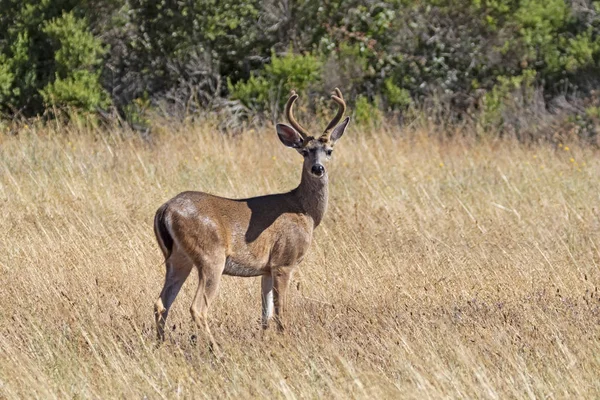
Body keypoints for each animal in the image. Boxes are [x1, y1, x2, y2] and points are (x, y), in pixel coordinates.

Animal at [152, 87, 350, 350]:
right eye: (305, 151)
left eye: (329, 151)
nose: (318, 168)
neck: (304, 211)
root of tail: (165, 210)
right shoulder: (284, 262)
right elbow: (280, 312)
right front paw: (285, 341)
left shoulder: (266, 269)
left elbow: (265, 314)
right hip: (210, 257)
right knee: (197, 308)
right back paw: (216, 349)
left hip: (178, 259)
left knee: (161, 303)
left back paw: (160, 344)